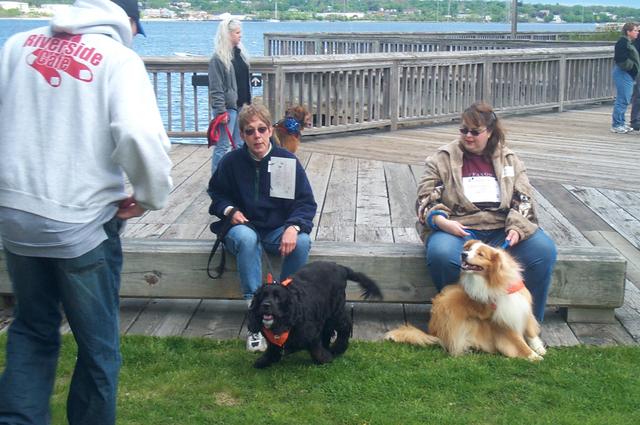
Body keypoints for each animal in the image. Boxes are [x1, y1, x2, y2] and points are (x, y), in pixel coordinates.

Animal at [247, 261, 382, 368]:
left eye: (277, 297)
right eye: (262, 296)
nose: (265, 305)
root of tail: (341, 268)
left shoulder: (311, 332)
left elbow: (316, 347)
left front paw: (325, 359)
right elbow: (272, 348)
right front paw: (265, 360)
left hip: (335, 310)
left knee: (345, 324)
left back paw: (337, 348)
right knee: (329, 330)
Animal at [385, 240, 546, 361]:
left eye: (480, 254)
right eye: (469, 249)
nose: (463, 254)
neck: (496, 282)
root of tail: (433, 332)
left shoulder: (523, 308)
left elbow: (530, 331)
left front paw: (538, 348)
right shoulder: (501, 323)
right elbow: (519, 342)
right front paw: (533, 356)